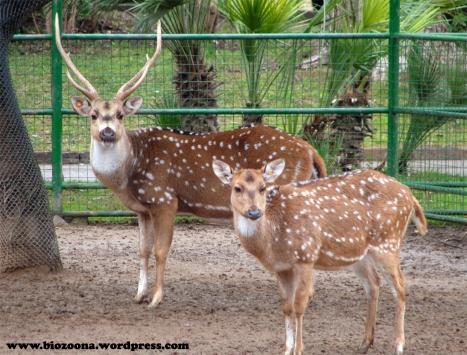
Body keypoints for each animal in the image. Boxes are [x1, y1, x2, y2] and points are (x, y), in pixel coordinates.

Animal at [54, 14, 328, 308]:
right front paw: (139, 294)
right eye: (93, 115)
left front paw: (156, 298)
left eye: (120, 115)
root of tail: (311, 151)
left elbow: (161, 250)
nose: (107, 132)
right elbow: (142, 250)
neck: (129, 173)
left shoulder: (165, 199)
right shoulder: (142, 209)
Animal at [214, 161, 430, 355]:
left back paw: (399, 345)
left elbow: (300, 305)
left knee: (400, 286)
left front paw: (298, 350)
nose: (254, 212)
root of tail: (410, 194)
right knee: (373, 283)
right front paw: (286, 349)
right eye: (237, 188)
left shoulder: (306, 256)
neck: (272, 240)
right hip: (360, 253)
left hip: (388, 242)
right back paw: (365, 344)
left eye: (263, 188)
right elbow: (286, 306)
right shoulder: (281, 267)